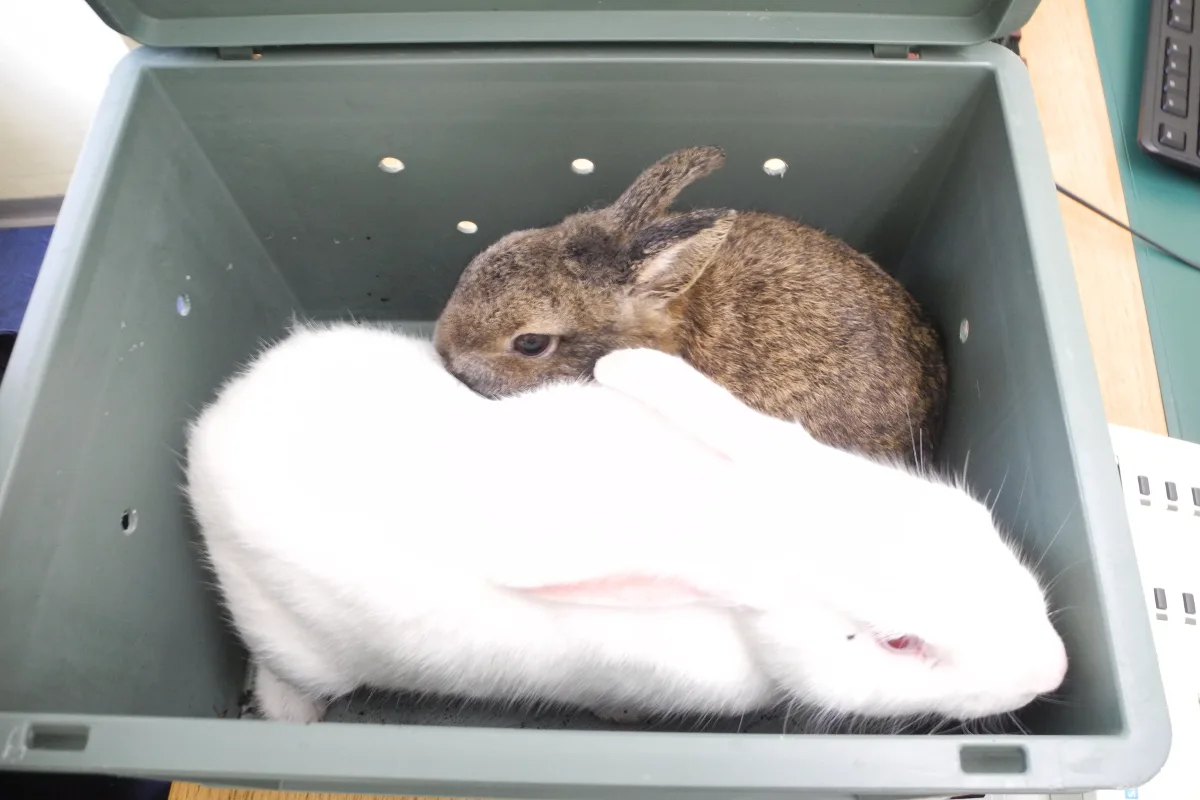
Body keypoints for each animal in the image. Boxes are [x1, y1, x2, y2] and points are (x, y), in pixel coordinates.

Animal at [184, 321, 1066, 727]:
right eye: (897, 642)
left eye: (971, 517)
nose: (1055, 670)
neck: (744, 519)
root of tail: (210, 431)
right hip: (298, 643)